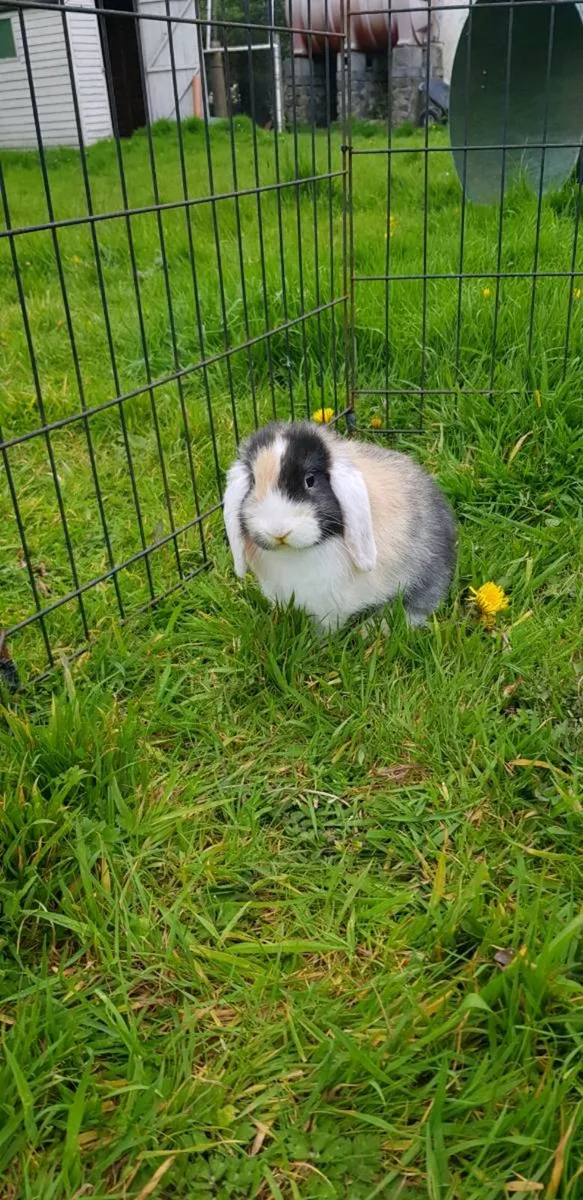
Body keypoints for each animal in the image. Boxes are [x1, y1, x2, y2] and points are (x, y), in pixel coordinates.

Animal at [223, 420, 456, 632]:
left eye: (310, 480)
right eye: (254, 482)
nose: (278, 531)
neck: (293, 554)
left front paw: (320, 644)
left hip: (426, 570)